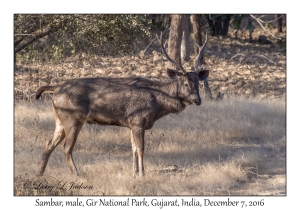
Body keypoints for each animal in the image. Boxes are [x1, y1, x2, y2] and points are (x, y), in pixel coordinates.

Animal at [34, 32, 209, 177]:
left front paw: (134, 173)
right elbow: (141, 149)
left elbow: (133, 149)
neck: (157, 104)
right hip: (73, 117)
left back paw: (39, 173)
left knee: (49, 143)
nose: (197, 100)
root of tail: (56, 88)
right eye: (185, 83)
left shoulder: (131, 124)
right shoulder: (138, 120)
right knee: (66, 147)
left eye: (197, 83)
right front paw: (142, 174)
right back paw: (77, 174)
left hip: (60, 119)